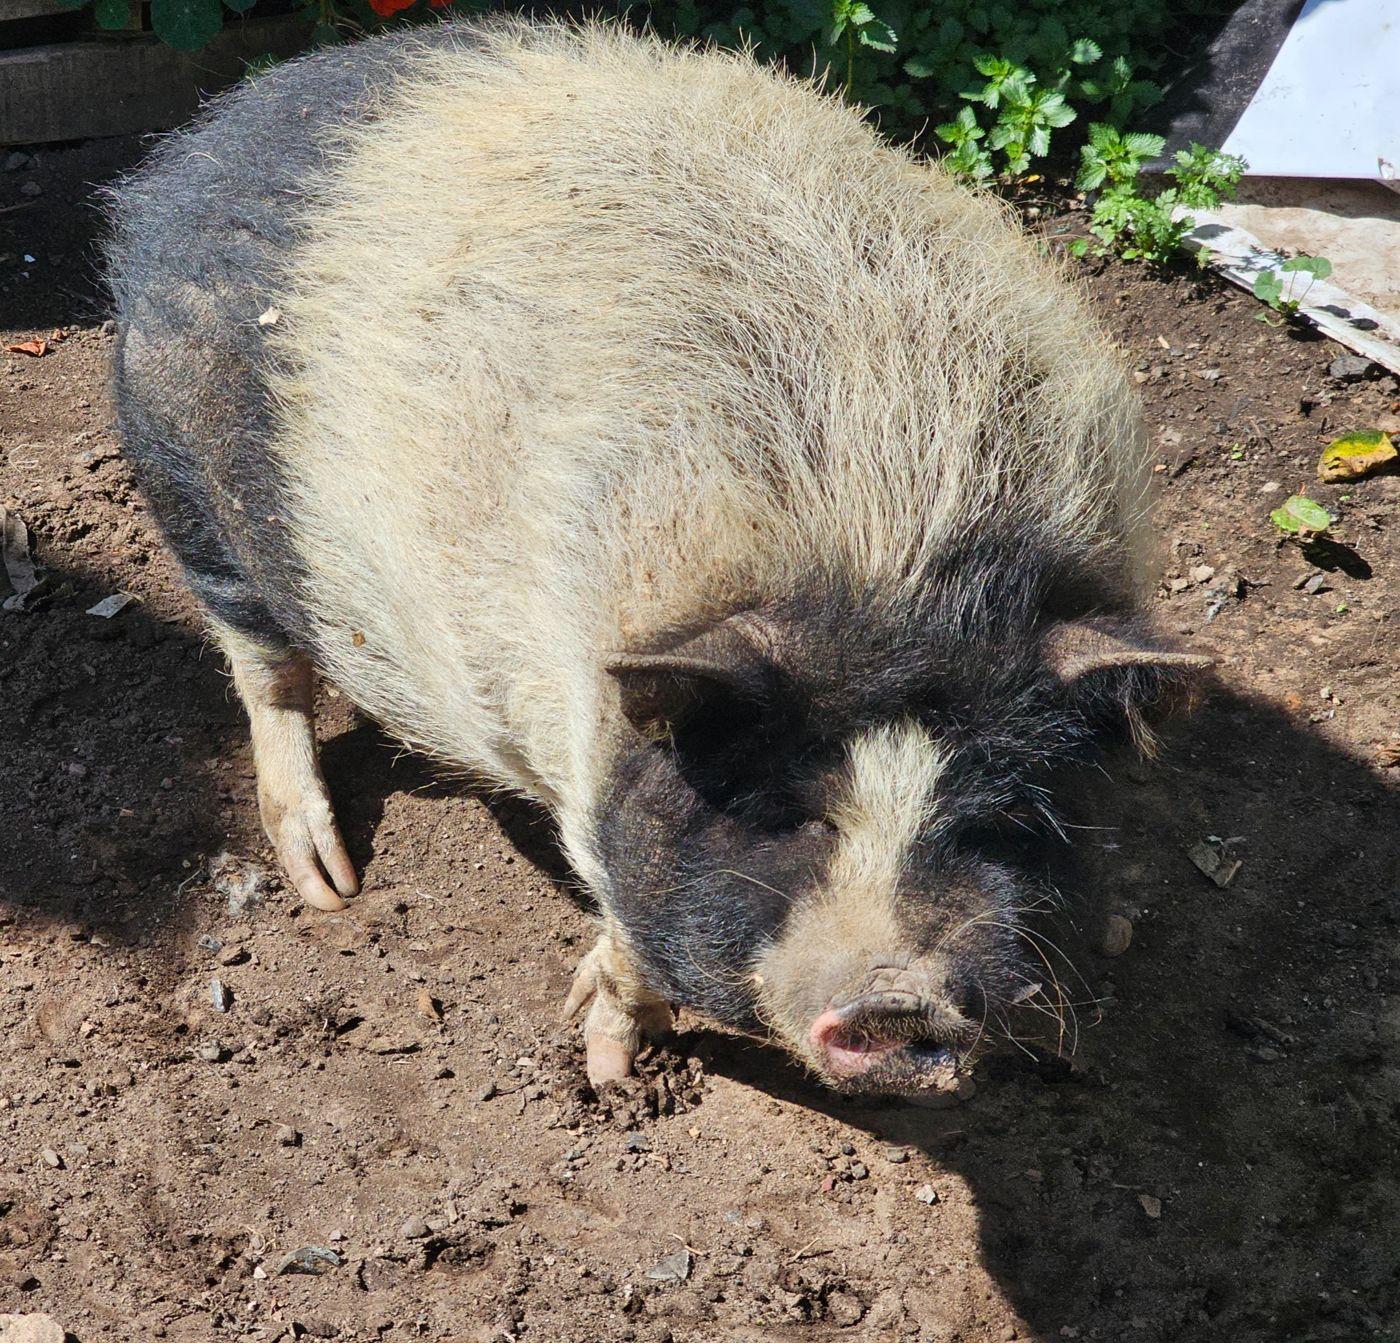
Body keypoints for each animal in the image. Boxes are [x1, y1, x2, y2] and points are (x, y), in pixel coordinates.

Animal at [106, 19, 1205, 1095]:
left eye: (995, 817)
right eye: (792, 812)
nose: (899, 1001)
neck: (894, 548)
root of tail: (224, 125)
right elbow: (627, 912)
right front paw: (605, 1073)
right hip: (186, 477)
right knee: (261, 660)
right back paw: (329, 884)